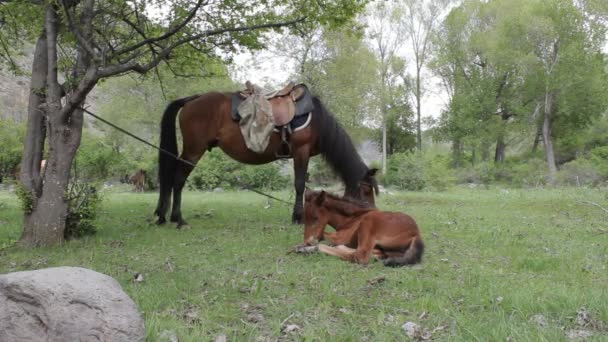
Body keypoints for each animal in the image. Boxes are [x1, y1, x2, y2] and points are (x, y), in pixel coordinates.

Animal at [154, 85, 378, 227]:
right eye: (367, 191)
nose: (373, 213)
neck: (317, 120)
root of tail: (192, 99)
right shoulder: (301, 151)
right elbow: (299, 185)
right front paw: (298, 217)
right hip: (193, 151)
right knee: (178, 180)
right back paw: (178, 219)